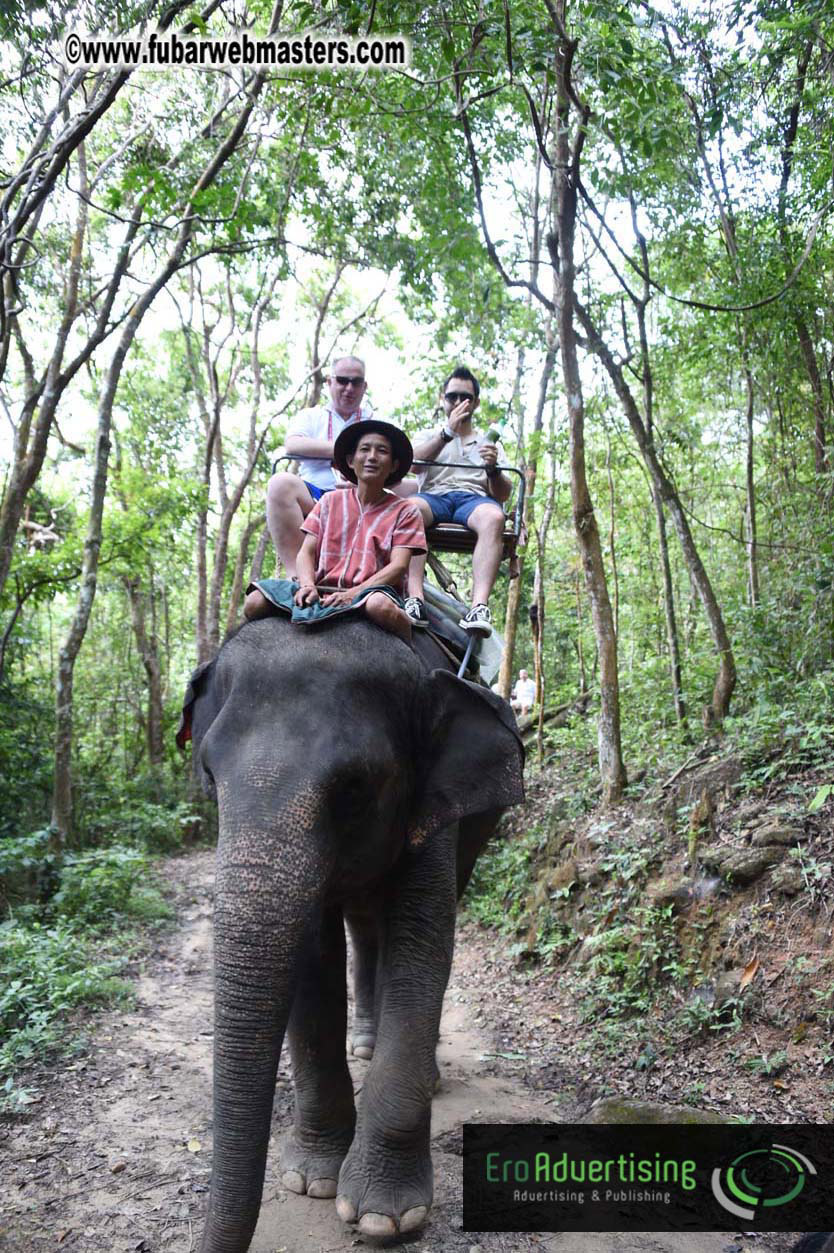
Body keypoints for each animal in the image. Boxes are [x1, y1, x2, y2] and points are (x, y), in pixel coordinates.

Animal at [177, 612, 524, 1253]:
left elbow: (423, 941)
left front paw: (385, 1217)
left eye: (356, 787)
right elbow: (314, 958)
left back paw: (422, 1072)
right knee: (365, 927)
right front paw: (309, 1179)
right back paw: (364, 1041)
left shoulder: (435, 806)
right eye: (209, 775)